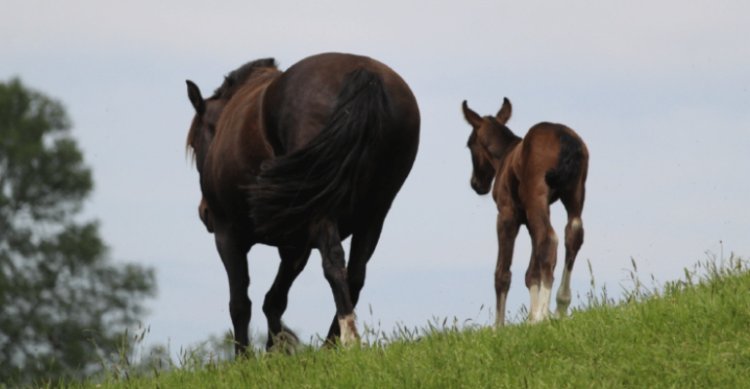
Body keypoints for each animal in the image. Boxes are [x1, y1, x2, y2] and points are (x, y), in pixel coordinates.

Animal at [187, 53, 424, 354]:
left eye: (195, 145)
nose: (204, 211)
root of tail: (365, 74)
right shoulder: (296, 245)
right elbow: (274, 300)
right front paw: (276, 351)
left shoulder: (227, 235)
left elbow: (240, 303)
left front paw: (244, 358)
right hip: (374, 214)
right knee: (354, 274)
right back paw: (331, 345)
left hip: (322, 211)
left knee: (334, 263)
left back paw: (348, 340)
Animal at [462, 97, 592, 324]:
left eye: (470, 144)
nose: (476, 184)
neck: (505, 157)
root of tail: (566, 140)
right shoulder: (528, 218)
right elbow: (532, 271)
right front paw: (530, 319)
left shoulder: (507, 215)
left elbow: (502, 272)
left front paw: (500, 326)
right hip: (574, 195)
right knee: (572, 234)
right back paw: (560, 305)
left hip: (536, 199)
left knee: (549, 239)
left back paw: (543, 314)